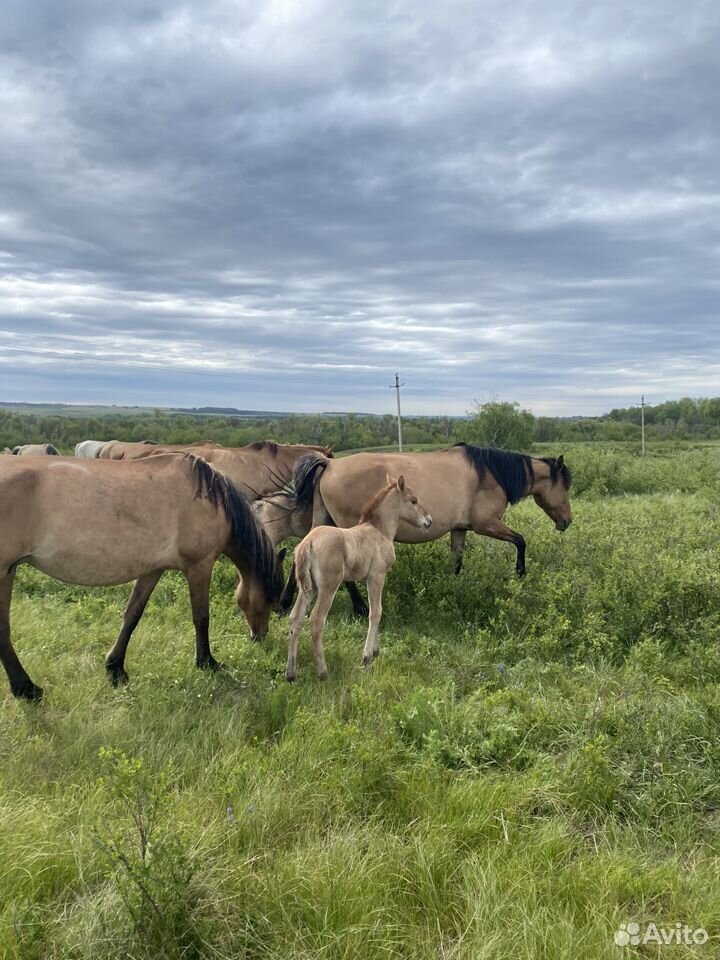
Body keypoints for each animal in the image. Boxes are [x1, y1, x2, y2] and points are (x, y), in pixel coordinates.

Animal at [0, 454, 286, 700]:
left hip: (8, 571)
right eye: (270, 600)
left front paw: (115, 668)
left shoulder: (152, 570)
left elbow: (132, 616)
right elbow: (201, 618)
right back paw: (26, 688)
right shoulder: (199, 566)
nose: (259, 636)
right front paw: (207, 662)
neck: (212, 500)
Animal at [282, 442, 572, 608]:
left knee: (300, 554)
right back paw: (360, 607)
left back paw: (285, 602)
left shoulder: (460, 529)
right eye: (565, 486)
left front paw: (452, 589)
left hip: (322, 522)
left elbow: (456, 562)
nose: (567, 521)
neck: (490, 473)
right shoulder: (486, 524)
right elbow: (521, 541)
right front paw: (520, 572)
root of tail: (329, 464)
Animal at [286, 476, 434, 680]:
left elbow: (377, 609)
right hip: (328, 586)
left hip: (308, 587)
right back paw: (323, 672)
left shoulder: (376, 577)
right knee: (316, 620)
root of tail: (309, 542)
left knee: (295, 618)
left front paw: (375, 650)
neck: (379, 530)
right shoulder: (377, 575)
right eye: (413, 500)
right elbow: (376, 611)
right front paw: (367, 657)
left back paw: (290, 673)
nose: (429, 521)